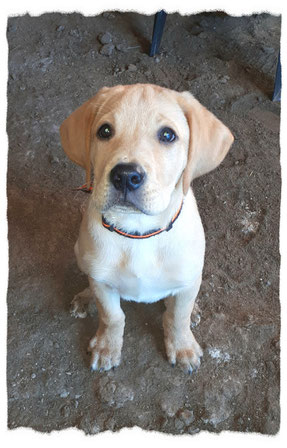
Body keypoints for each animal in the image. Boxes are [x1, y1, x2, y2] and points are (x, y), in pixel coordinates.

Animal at [60, 84, 234, 374]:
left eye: (168, 135)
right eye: (104, 131)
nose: (125, 176)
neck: (138, 233)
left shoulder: (188, 279)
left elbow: (177, 316)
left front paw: (183, 346)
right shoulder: (102, 282)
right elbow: (112, 316)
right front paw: (107, 347)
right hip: (78, 252)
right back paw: (86, 298)